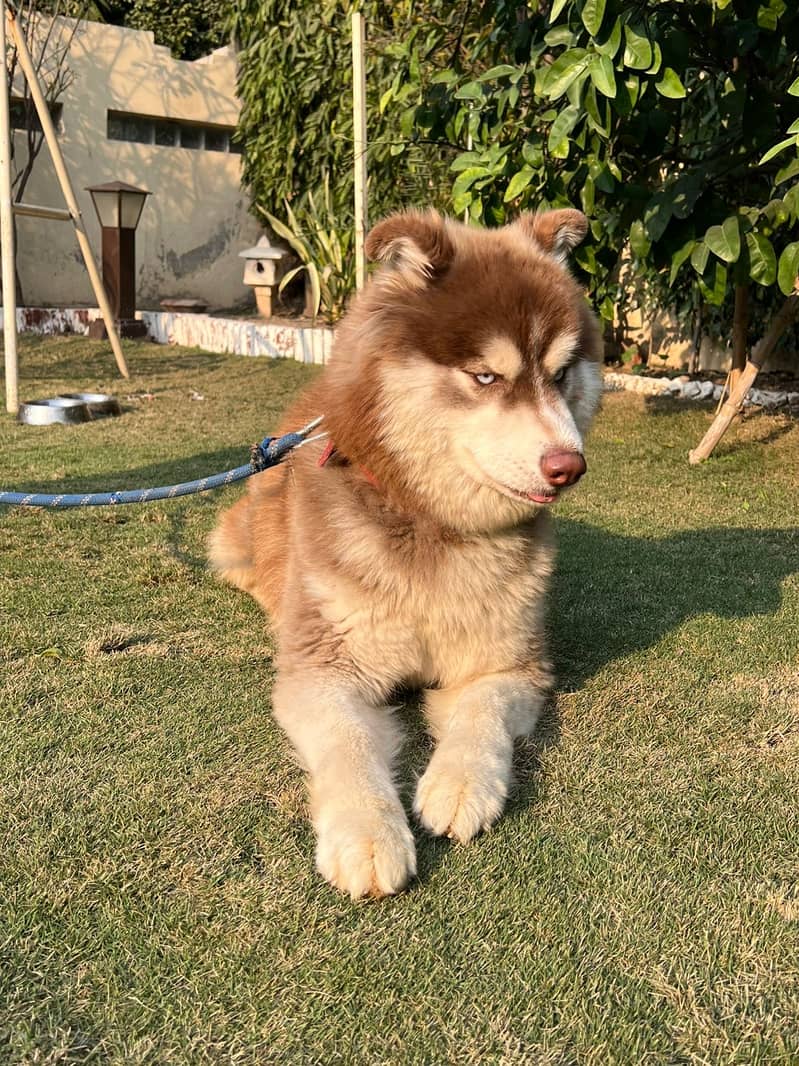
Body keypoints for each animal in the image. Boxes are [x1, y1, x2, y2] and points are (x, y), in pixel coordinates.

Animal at [209, 203, 605, 895]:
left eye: (560, 375)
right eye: (485, 376)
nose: (568, 466)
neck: (431, 525)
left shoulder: (509, 665)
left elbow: (481, 716)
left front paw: (460, 783)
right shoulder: (323, 669)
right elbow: (348, 743)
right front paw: (368, 833)